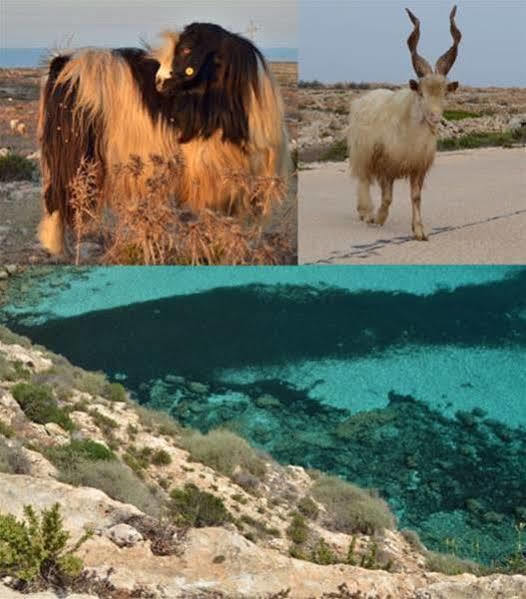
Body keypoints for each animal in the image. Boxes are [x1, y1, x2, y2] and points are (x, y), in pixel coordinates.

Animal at [39, 22, 290, 255]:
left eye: (187, 48)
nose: (158, 82)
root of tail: (63, 61)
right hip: (73, 152)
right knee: (57, 196)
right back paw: (57, 248)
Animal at [350, 6, 462, 241]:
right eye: (421, 92)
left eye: (444, 93)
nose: (434, 117)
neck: (409, 131)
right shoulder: (386, 166)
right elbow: (387, 198)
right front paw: (379, 219)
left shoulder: (417, 169)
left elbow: (416, 197)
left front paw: (419, 230)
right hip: (361, 151)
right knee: (363, 180)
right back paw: (366, 212)